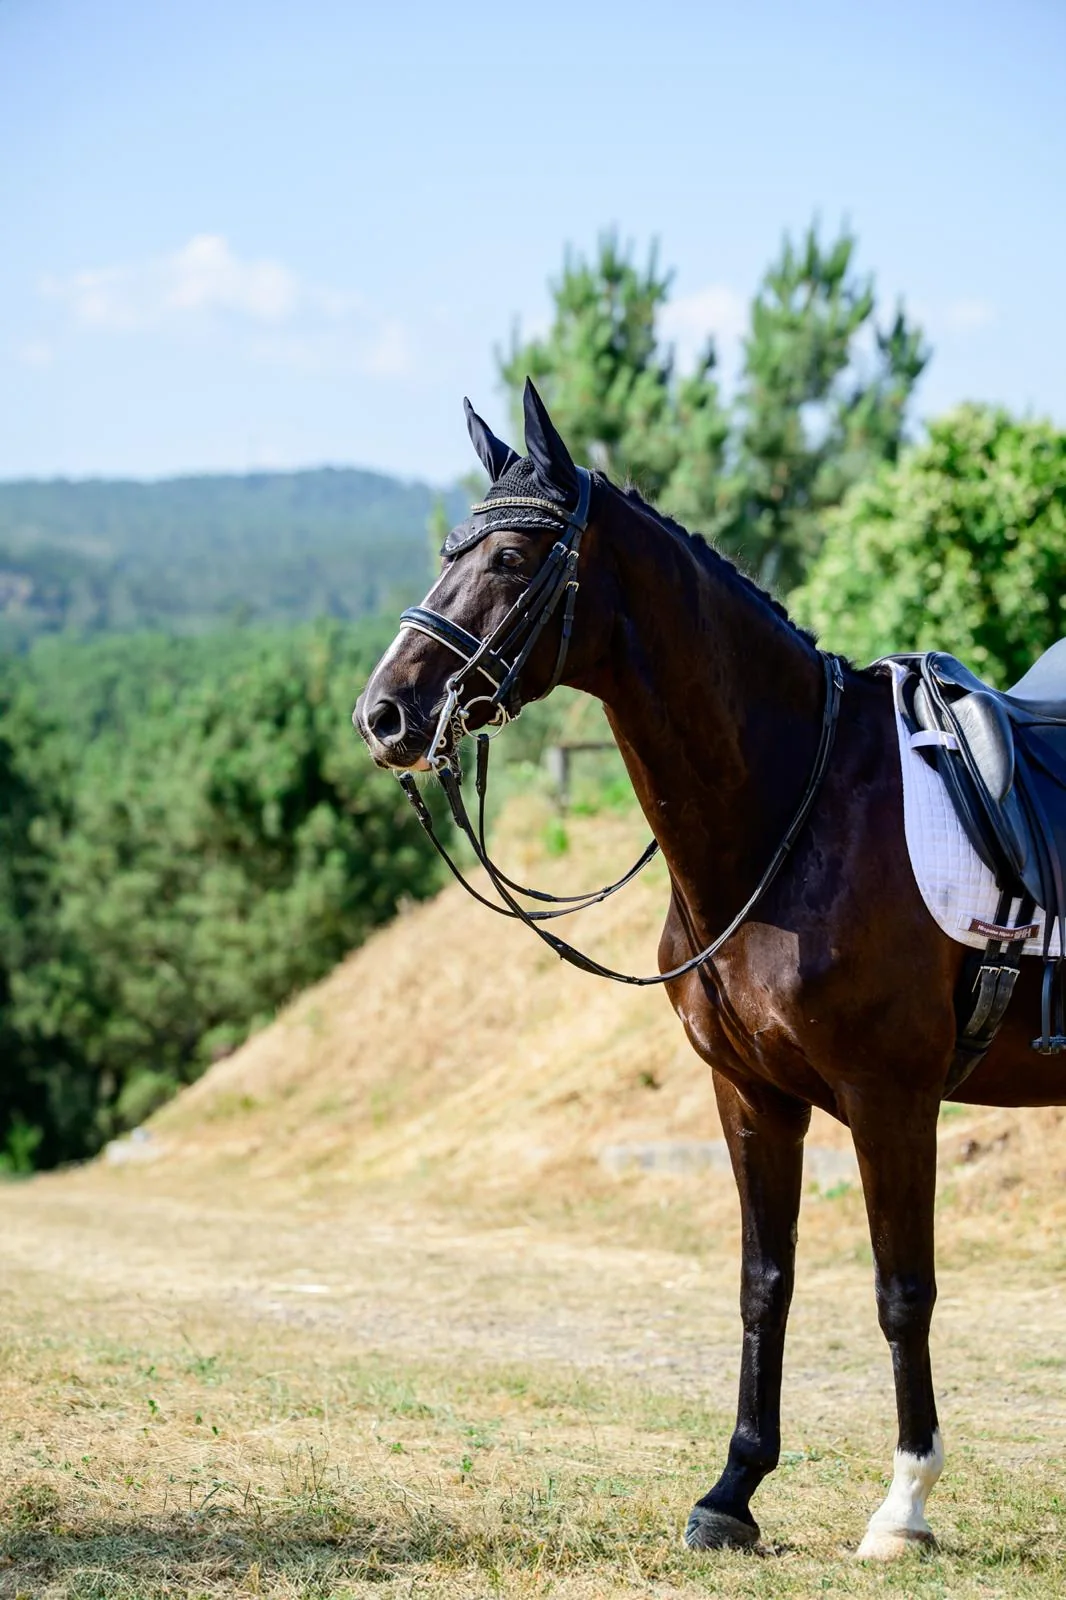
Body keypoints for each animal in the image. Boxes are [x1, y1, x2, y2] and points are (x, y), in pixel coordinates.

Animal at [354, 379, 1066, 1560]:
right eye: (450, 549)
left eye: (510, 558)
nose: (386, 714)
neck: (800, 806)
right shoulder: (750, 1095)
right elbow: (762, 1284)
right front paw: (733, 1489)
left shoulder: (891, 1097)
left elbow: (900, 1290)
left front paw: (904, 1506)